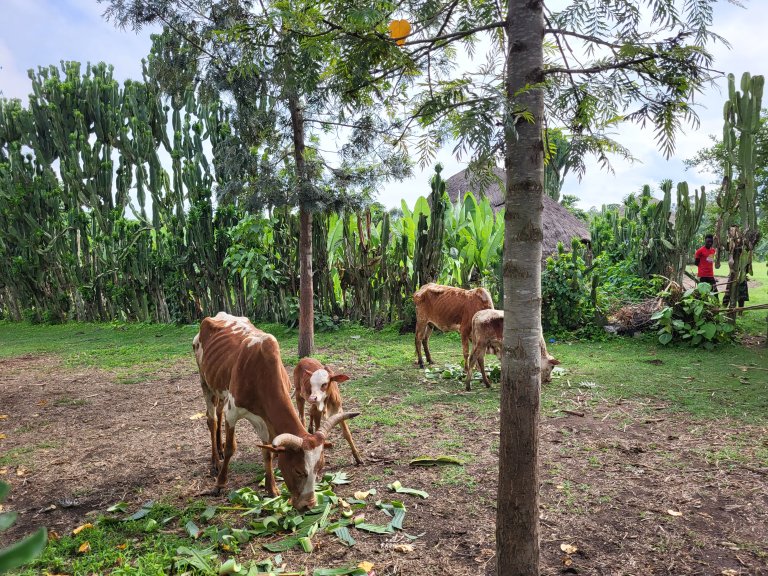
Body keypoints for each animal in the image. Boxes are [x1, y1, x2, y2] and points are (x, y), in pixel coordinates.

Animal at [194, 312, 358, 510]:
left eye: (320, 468)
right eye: (298, 471)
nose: (308, 505)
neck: (259, 372)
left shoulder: (264, 418)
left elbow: (268, 452)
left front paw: (271, 488)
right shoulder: (232, 413)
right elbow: (230, 449)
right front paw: (220, 483)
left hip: (219, 389)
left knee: (218, 412)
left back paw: (218, 448)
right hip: (205, 383)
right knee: (212, 420)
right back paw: (215, 461)